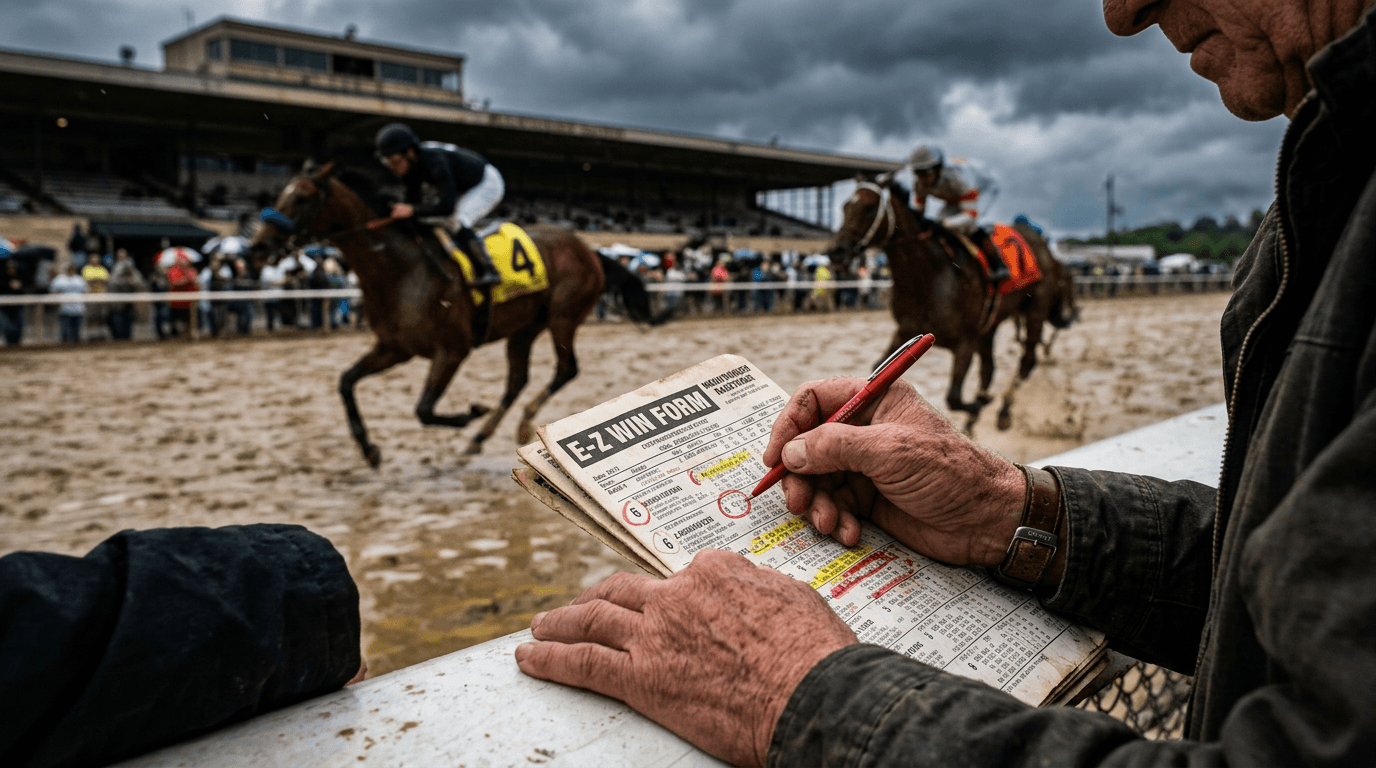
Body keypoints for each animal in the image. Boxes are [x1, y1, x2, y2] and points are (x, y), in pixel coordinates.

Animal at [250, 161, 664, 467]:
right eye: (282, 192)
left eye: (302, 197)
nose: (258, 247)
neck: (402, 271)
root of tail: (591, 250)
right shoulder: (394, 348)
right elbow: (346, 382)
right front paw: (369, 450)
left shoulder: (452, 350)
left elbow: (423, 409)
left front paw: (470, 412)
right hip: (525, 327)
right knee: (517, 380)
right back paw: (480, 439)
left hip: (563, 317)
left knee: (566, 370)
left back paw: (517, 424)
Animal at [833, 174, 1077, 433]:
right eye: (845, 207)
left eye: (869, 207)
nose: (836, 252)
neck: (930, 278)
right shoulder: (906, 330)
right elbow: (878, 365)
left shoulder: (965, 341)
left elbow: (954, 397)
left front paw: (980, 404)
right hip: (990, 326)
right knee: (989, 369)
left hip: (1034, 312)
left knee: (1027, 362)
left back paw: (1003, 410)